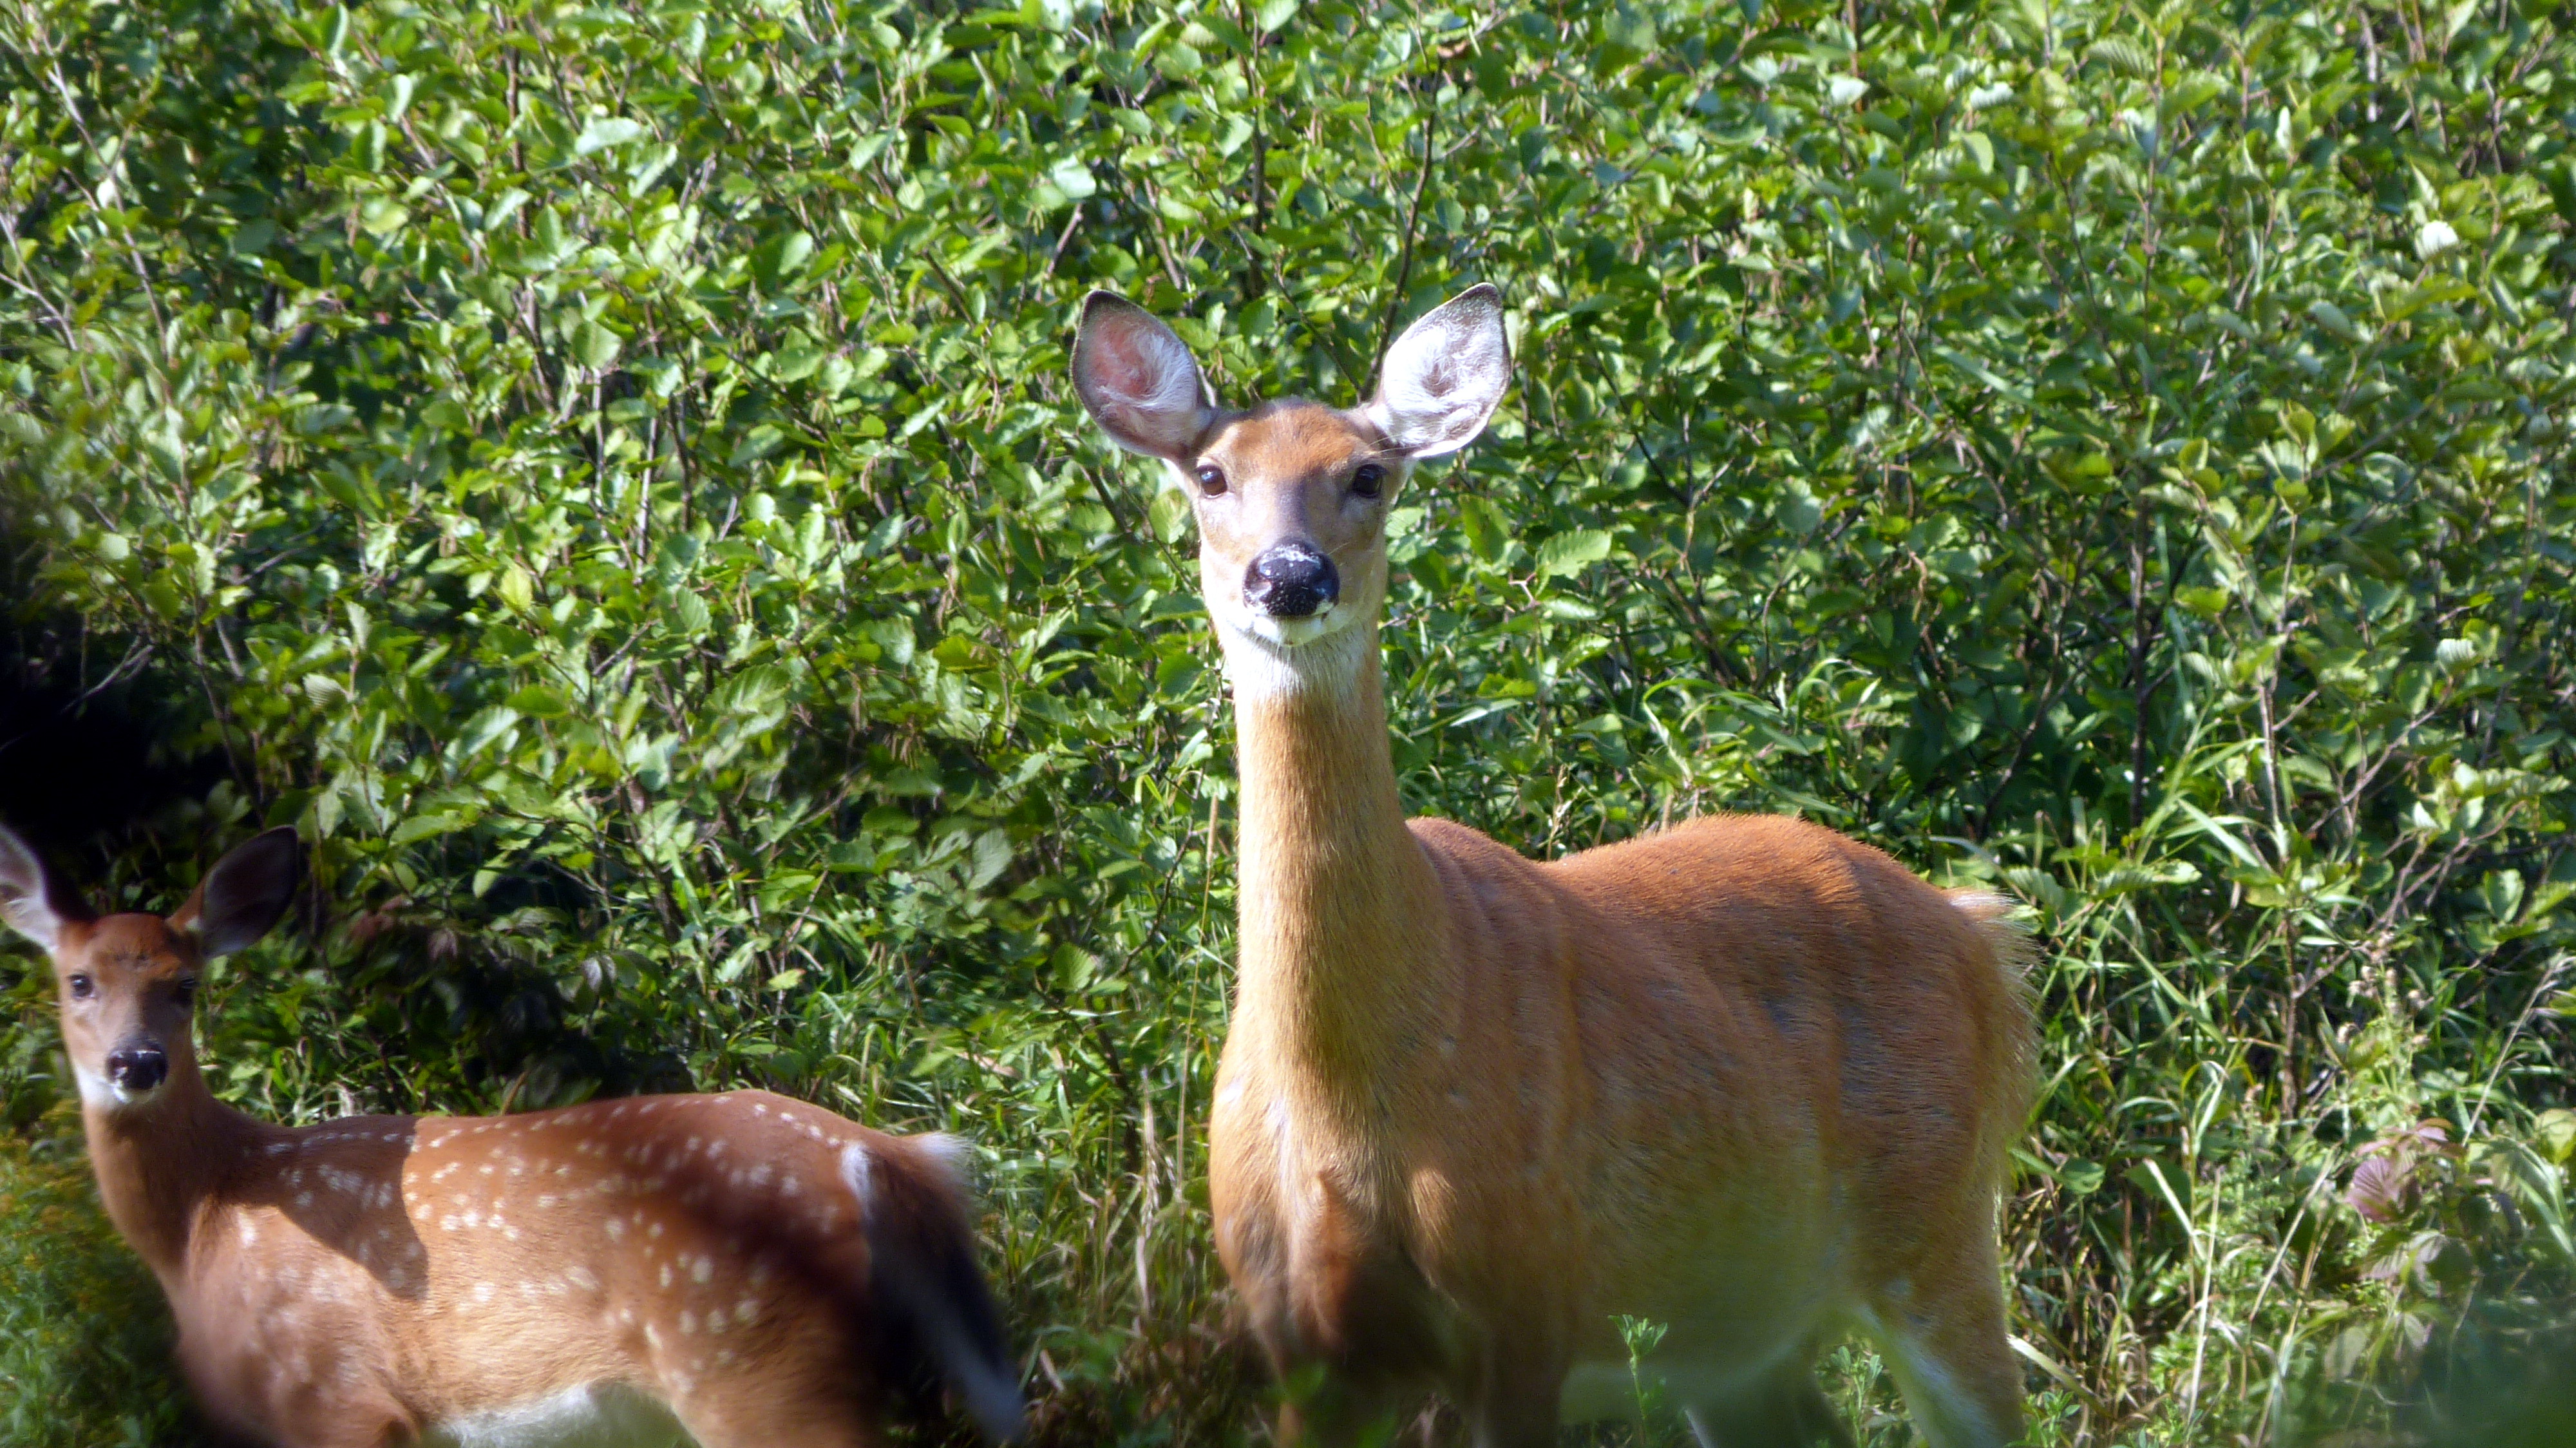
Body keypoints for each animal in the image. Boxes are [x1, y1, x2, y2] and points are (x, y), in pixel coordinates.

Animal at [0, 824, 1025, 1443]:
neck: (203, 1223)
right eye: (78, 981)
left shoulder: (337, 1399)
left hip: (757, 1361)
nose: (136, 1064)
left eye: (185, 986)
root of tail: (883, 1155)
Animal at [1066, 287, 2030, 1433]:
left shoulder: (1527, 1301)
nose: (1291, 575)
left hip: (1938, 1222)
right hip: (1739, 1344)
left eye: (1369, 473)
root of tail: (1977, 935)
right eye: (1212, 475)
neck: (1348, 1101)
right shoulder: (1298, 1341)